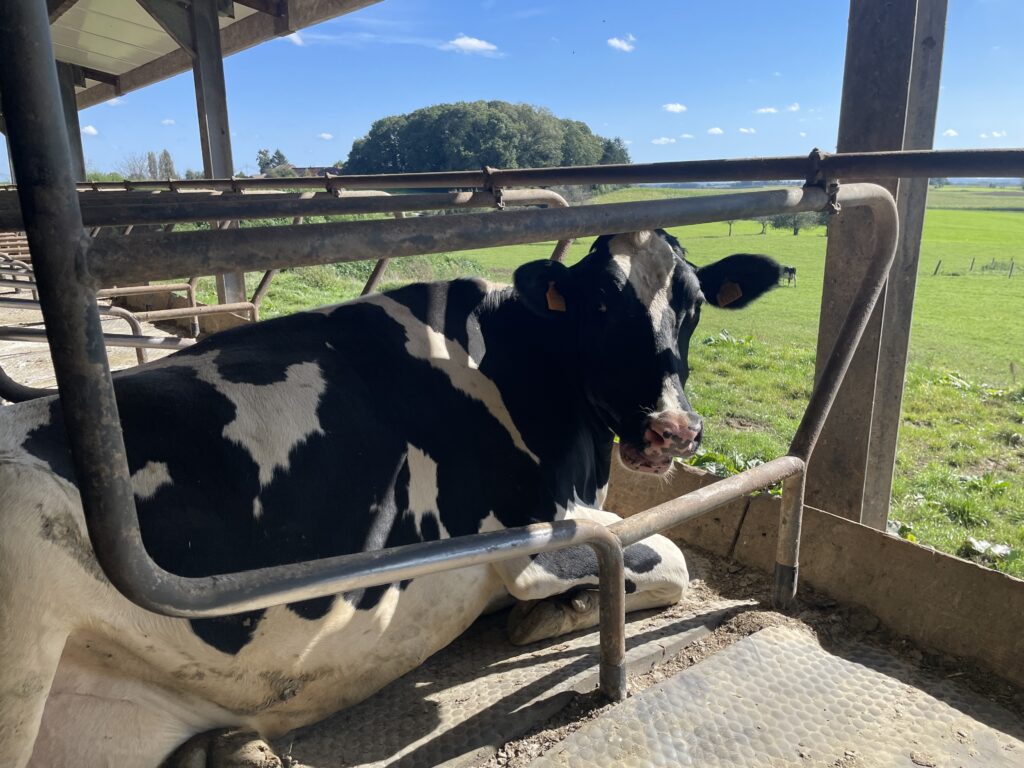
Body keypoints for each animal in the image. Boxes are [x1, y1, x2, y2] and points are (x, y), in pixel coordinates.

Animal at [0, 230, 782, 767]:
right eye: (597, 305)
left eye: (693, 305)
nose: (673, 428)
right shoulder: (528, 539)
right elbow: (668, 557)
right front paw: (561, 612)